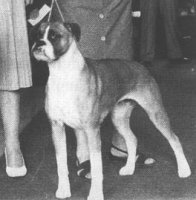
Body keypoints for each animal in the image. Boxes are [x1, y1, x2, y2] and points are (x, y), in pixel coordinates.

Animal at [32, 21, 191, 199]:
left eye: (54, 36)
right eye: (37, 35)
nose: (38, 44)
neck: (63, 75)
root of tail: (139, 65)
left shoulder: (92, 130)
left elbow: (96, 168)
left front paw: (95, 194)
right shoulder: (57, 127)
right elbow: (61, 165)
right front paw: (64, 190)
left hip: (155, 113)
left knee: (174, 139)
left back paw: (184, 170)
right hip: (119, 118)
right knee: (132, 139)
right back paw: (129, 168)